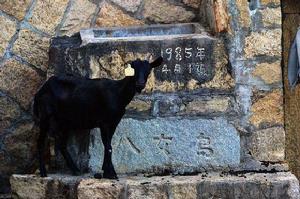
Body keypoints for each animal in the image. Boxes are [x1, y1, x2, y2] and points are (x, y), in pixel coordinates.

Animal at [32, 56, 163, 179]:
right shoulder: (104, 122)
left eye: (148, 71)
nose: (140, 84)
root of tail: (40, 91)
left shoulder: (114, 122)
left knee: (62, 144)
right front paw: (111, 173)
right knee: (40, 142)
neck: (118, 93)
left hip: (65, 121)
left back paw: (75, 170)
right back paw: (43, 173)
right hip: (45, 115)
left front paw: (107, 171)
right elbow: (108, 145)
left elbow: (108, 144)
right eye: (134, 69)